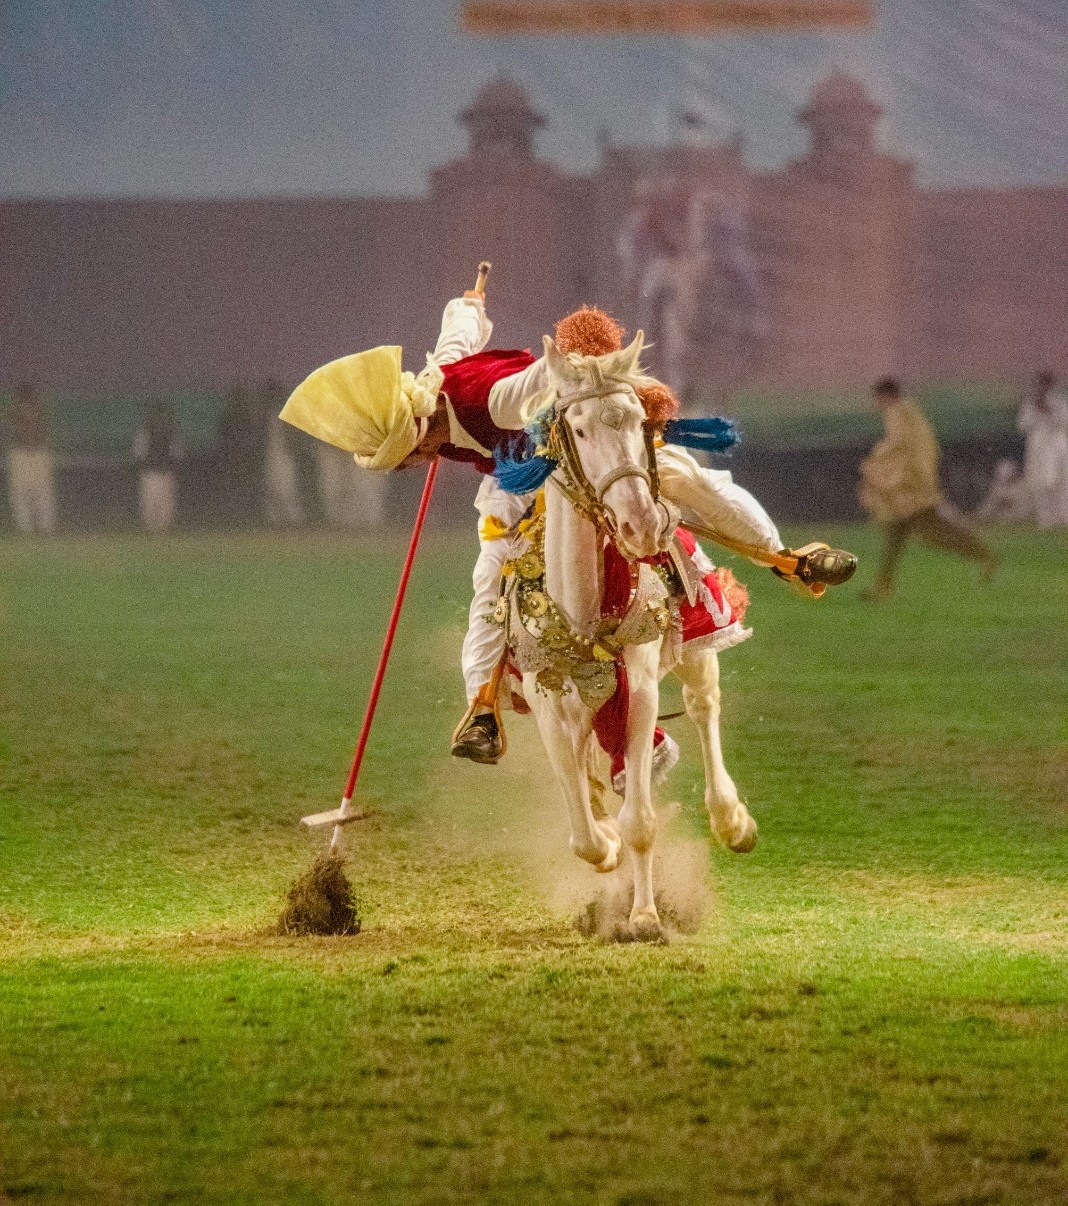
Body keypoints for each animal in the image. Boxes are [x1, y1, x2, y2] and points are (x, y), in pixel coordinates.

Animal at [498, 333, 757, 942]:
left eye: (640, 420)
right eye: (579, 429)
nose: (642, 524)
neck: (583, 610)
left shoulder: (638, 685)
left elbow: (639, 819)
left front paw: (644, 917)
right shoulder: (546, 696)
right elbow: (584, 832)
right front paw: (607, 848)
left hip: (696, 643)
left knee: (703, 704)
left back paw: (732, 820)